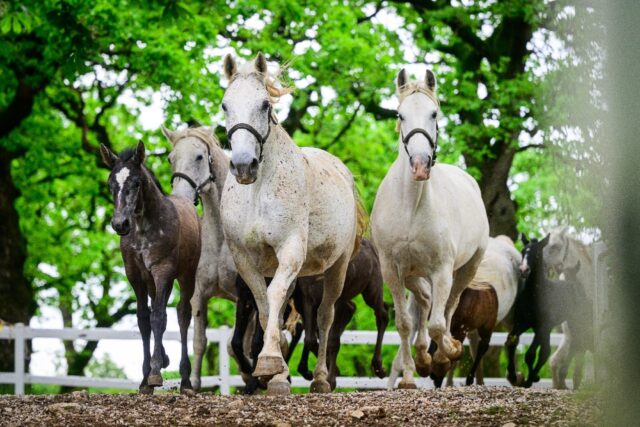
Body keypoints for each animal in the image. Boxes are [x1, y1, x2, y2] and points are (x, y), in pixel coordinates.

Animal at [100, 141, 200, 394]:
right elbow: (144, 320)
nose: (120, 224)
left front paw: (155, 373)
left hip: (186, 276)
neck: (144, 228)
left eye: (136, 182)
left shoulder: (163, 270)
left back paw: (185, 380)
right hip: (153, 281)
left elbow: (158, 317)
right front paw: (145, 378)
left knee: (182, 315)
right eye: (110, 184)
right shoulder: (135, 275)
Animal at [162, 125, 239, 391]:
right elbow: (200, 341)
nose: (181, 196)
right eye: (170, 159)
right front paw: (192, 384)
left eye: (199, 157)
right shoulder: (199, 296)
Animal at [219, 53, 365, 395]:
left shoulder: (290, 250)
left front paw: (269, 362)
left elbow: (274, 298)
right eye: (225, 105)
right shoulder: (245, 259)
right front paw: (273, 373)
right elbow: (264, 305)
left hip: (336, 268)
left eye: (264, 105)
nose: (243, 165)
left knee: (326, 317)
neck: (258, 192)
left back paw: (321, 379)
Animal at [294, 239, 389, 390]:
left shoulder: (336, 301)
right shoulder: (307, 299)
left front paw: (331, 380)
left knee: (382, 315)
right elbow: (310, 339)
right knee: (354, 309)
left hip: (372, 289)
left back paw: (379, 367)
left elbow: (332, 340)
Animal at [371, 68, 489, 389]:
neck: (411, 205)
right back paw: (423, 359)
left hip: (466, 268)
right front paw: (411, 376)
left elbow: (438, 322)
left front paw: (447, 354)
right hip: (413, 273)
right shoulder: (392, 269)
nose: (421, 165)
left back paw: (441, 355)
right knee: (424, 302)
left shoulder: (442, 270)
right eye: (400, 115)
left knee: (447, 308)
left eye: (434, 113)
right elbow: (404, 323)